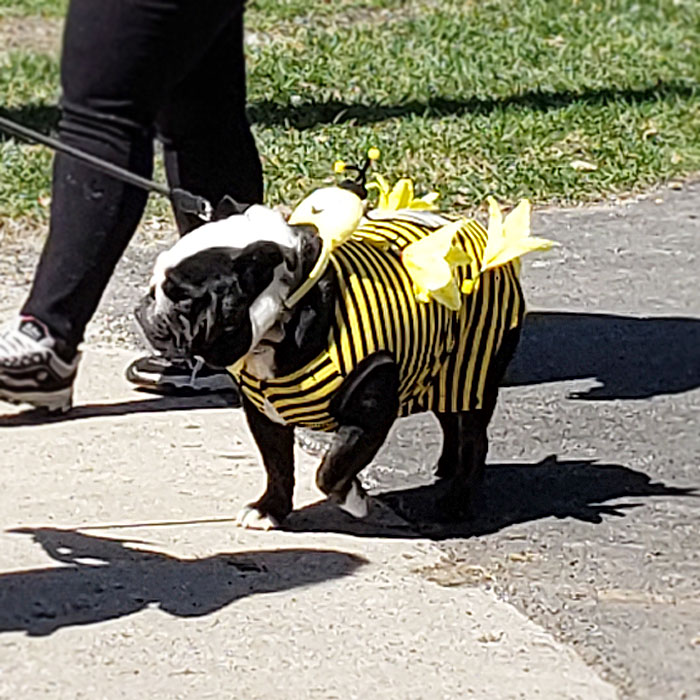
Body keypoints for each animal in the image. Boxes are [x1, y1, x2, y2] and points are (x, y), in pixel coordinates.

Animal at [137, 194, 528, 528]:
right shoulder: (264, 414)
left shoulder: (368, 413)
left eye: (184, 299)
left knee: (472, 435)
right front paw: (270, 510)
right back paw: (447, 466)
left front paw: (353, 499)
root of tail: (470, 229)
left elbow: (331, 468)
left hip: (473, 369)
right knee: (450, 418)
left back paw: (456, 501)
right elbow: (278, 465)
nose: (146, 304)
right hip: (440, 370)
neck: (283, 317)